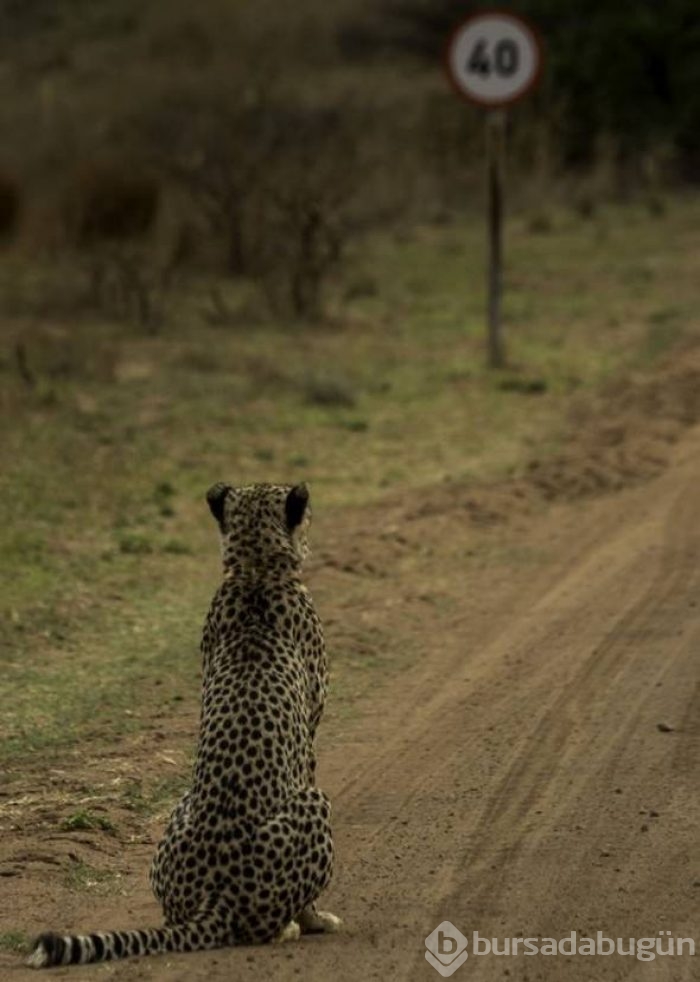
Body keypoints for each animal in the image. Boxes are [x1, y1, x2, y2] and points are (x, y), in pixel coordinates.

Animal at [28, 484, 340, 968]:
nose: (314, 520)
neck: (254, 570)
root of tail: (215, 896)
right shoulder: (310, 733)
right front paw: (316, 918)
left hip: (179, 812)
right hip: (315, 801)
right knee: (261, 928)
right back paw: (290, 927)